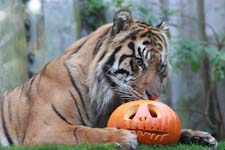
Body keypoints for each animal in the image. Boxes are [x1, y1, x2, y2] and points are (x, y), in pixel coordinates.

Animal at [0, 9, 218, 148]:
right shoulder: (44, 129)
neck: (104, 94)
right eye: (140, 62)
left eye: (161, 66)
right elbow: (82, 131)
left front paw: (200, 136)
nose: (154, 97)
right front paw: (122, 137)